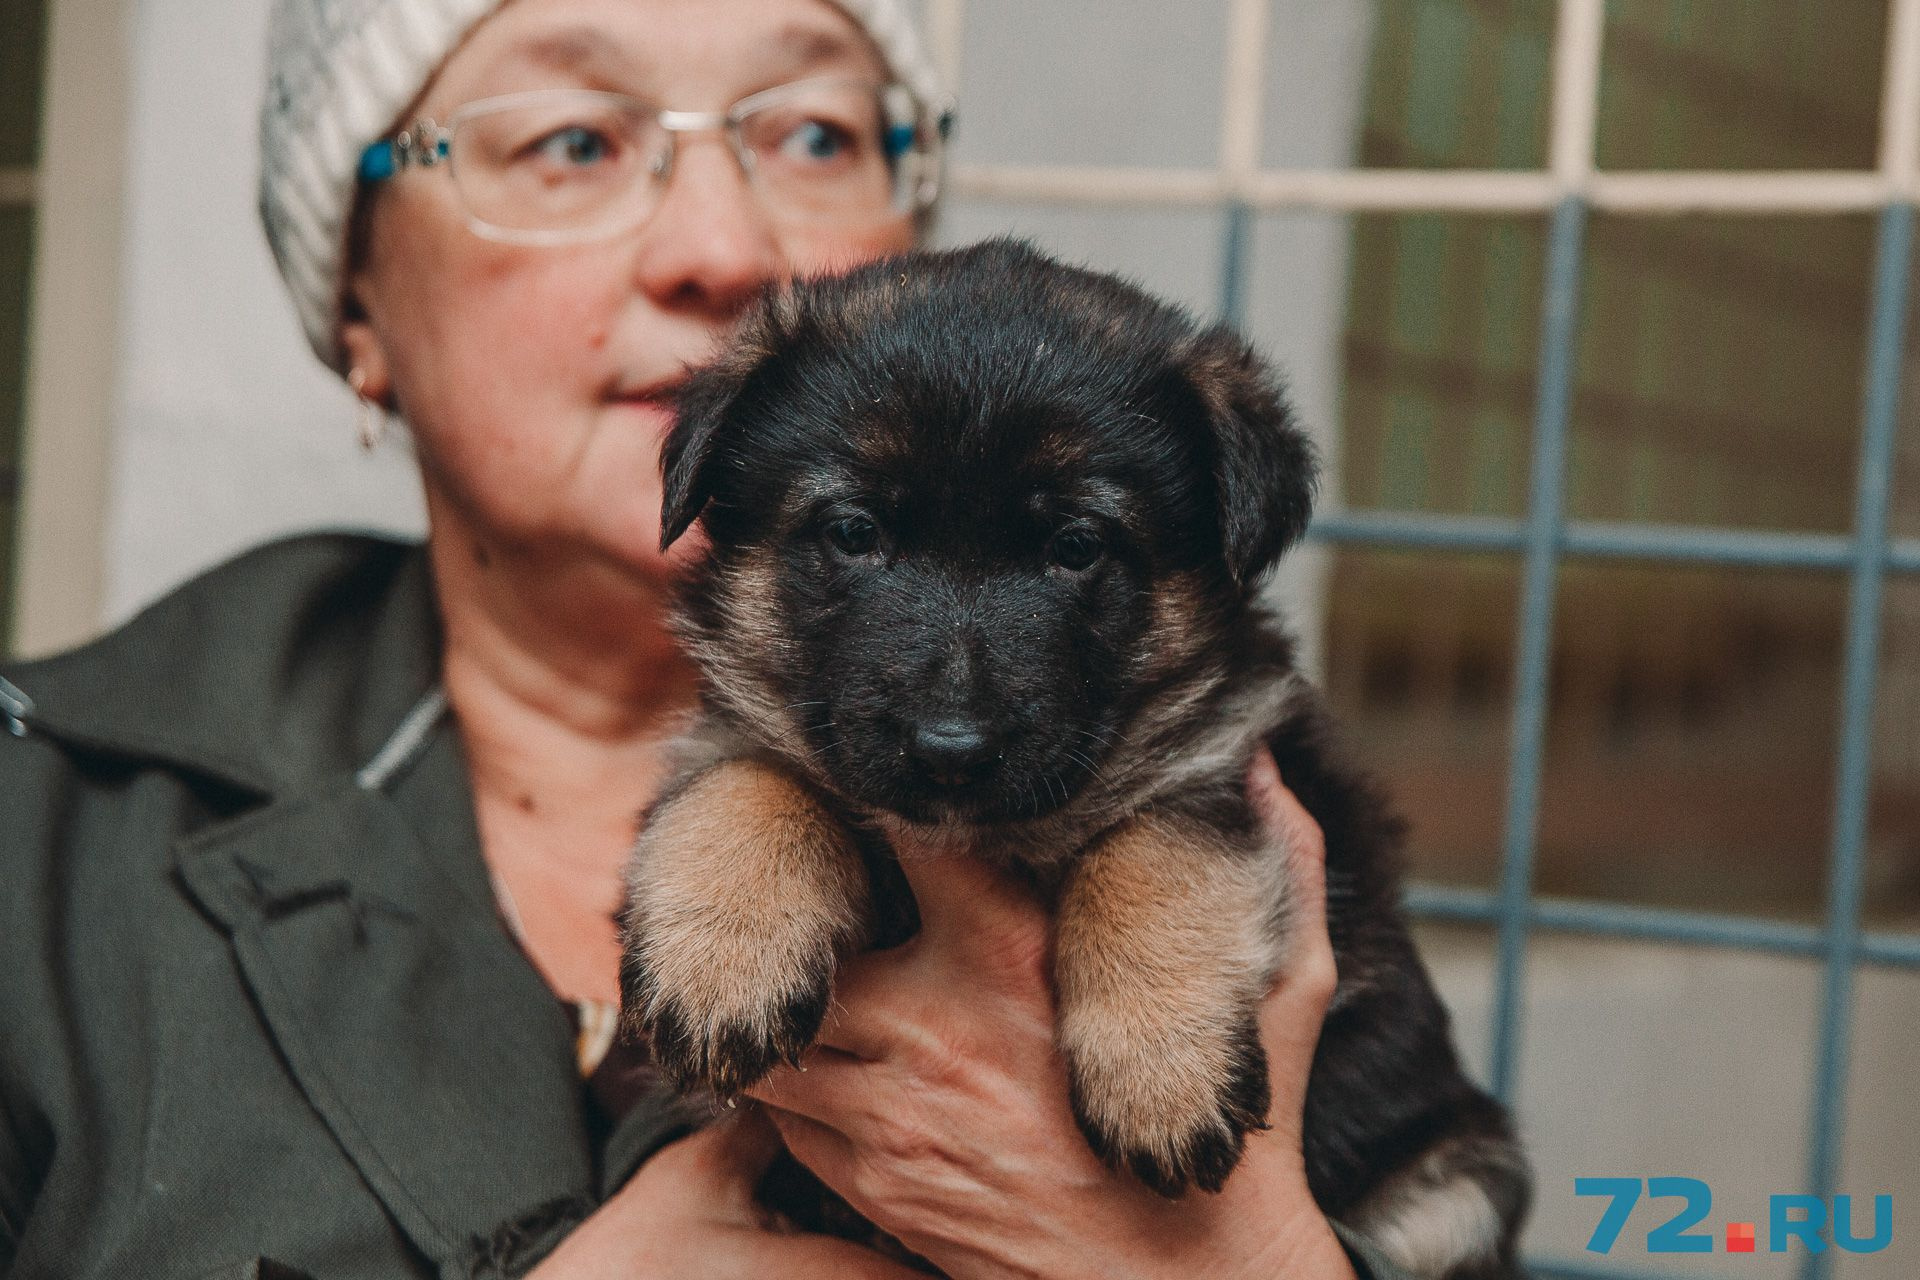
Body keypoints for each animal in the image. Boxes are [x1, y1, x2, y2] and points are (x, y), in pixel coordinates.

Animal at [622, 239, 1536, 1280]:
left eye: (1076, 545)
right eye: (853, 533)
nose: (950, 751)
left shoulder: (1220, 760)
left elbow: (1151, 856)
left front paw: (1160, 1070)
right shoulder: (741, 728)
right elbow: (745, 783)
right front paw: (719, 964)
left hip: (1453, 1195)